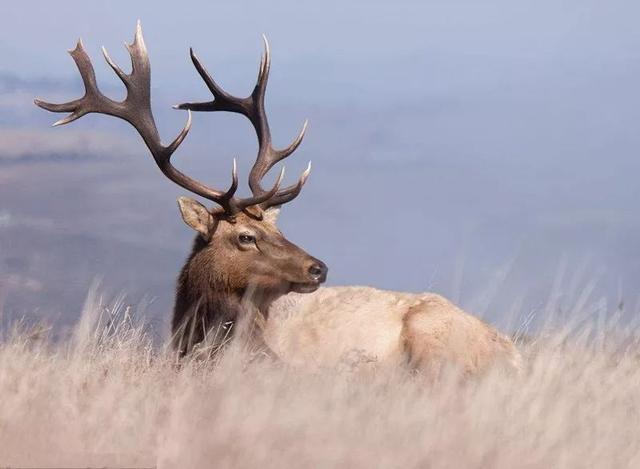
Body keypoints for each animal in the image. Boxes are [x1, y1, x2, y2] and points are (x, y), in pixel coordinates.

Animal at [36, 22, 520, 376]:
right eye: (246, 236)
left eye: (277, 226)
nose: (318, 267)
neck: (190, 336)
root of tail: (510, 350)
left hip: (432, 337)